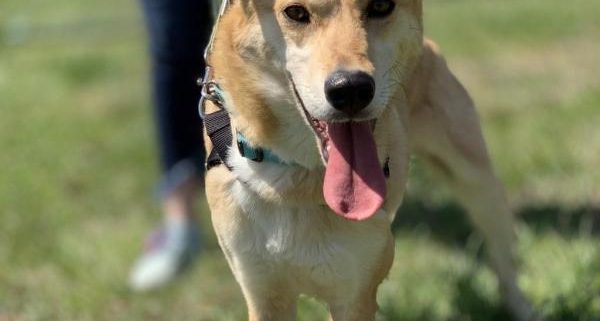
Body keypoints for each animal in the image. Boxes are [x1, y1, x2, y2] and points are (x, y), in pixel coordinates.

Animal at [204, 0, 540, 320]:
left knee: (503, 256)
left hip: (478, 183)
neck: (302, 180)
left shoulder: (355, 292)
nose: (351, 89)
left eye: (380, 6)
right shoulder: (264, 291)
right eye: (295, 12)